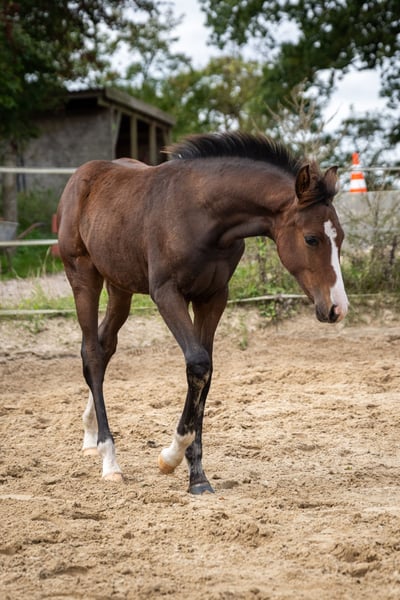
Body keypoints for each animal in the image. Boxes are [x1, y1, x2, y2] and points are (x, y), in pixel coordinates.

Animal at [57, 131, 348, 494]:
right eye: (311, 239)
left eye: (341, 238)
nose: (337, 308)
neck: (203, 215)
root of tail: (81, 177)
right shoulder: (167, 293)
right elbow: (197, 364)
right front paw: (169, 458)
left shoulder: (213, 297)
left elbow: (205, 373)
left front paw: (197, 477)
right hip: (83, 277)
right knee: (92, 352)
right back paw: (109, 458)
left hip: (120, 287)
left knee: (104, 344)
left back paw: (90, 432)